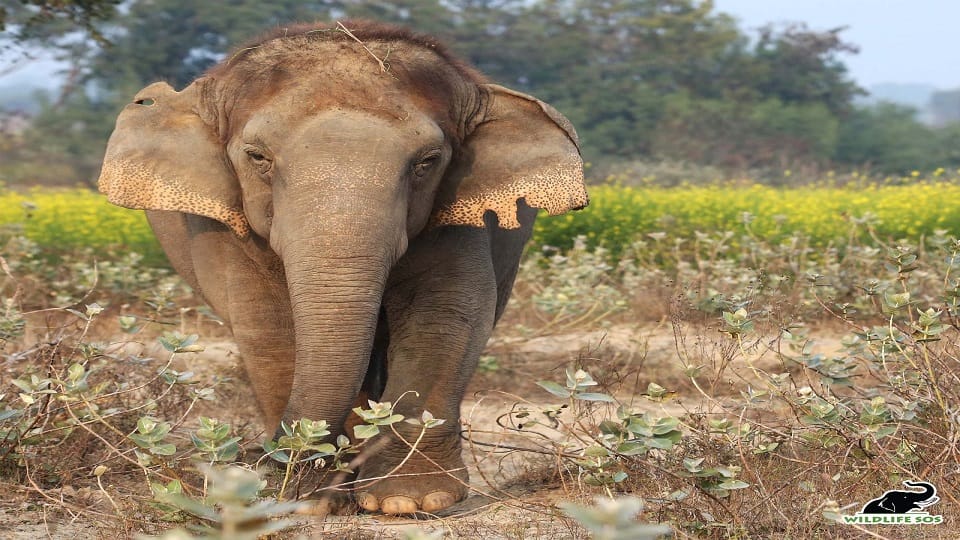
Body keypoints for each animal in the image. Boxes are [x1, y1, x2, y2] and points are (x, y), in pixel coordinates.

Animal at [97, 20, 587, 515]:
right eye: (257, 157)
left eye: (427, 162)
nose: (272, 465)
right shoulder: (223, 227)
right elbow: (266, 323)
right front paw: (308, 499)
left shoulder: (459, 214)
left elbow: (446, 314)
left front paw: (408, 500)